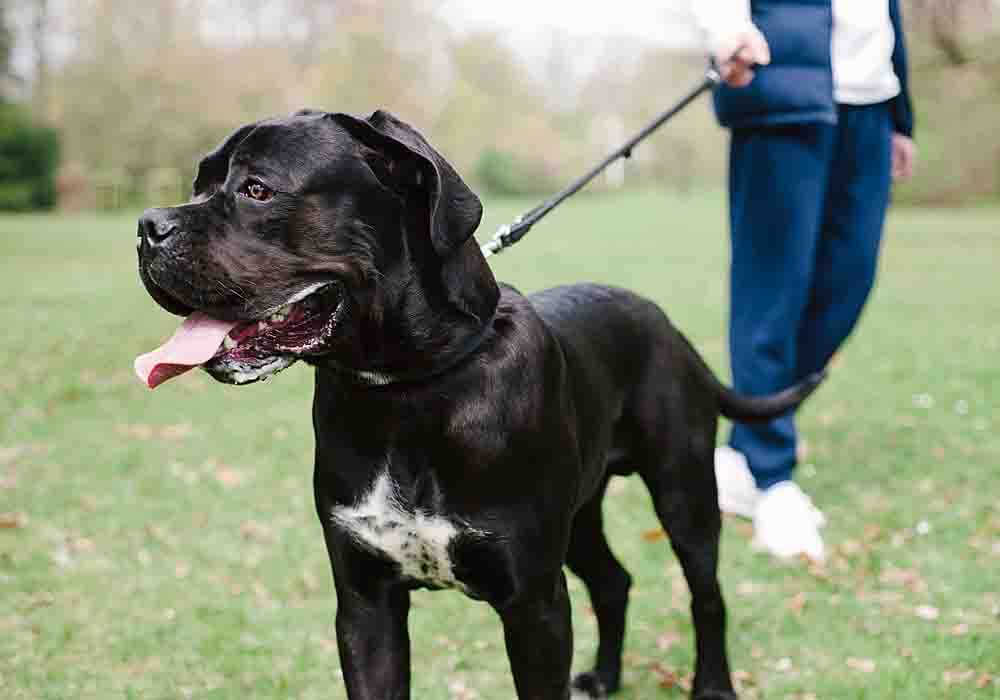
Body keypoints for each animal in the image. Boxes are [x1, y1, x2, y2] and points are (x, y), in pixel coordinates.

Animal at [135, 110, 820, 700]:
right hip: (580, 514)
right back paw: (604, 677)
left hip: (683, 490)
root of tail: (668, 325)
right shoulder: (365, 605)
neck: (407, 391)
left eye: (257, 189)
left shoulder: (533, 606)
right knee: (613, 581)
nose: (146, 227)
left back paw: (714, 685)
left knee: (706, 593)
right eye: (198, 184)